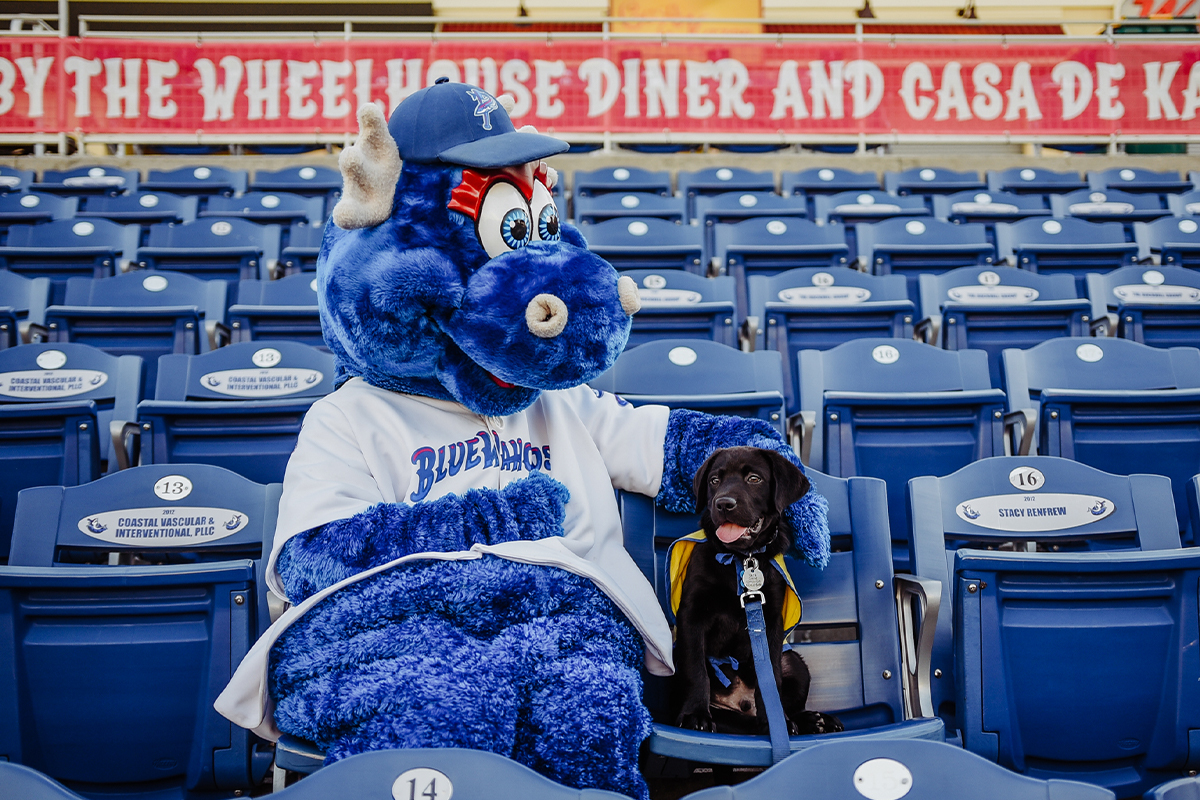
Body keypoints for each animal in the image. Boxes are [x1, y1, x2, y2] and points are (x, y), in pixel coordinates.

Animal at [676, 448, 844, 734]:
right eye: (714, 480)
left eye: (754, 479)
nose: (724, 503)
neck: (743, 558)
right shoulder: (691, 615)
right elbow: (695, 669)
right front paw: (695, 715)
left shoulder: (771, 620)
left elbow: (771, 677)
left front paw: (775, 722)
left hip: (796, 664)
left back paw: (813, 719)